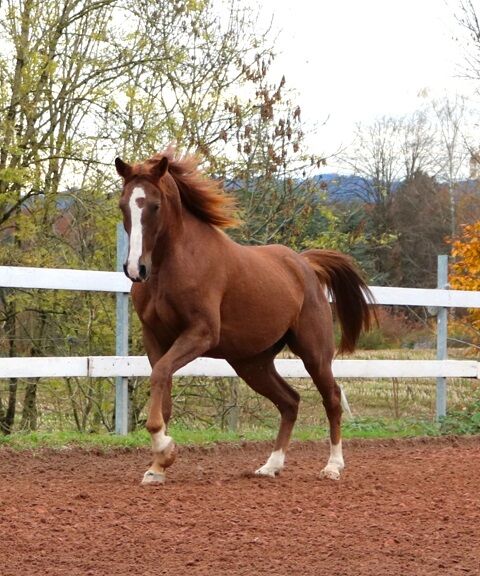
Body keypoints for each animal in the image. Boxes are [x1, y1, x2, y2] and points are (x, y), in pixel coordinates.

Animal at [115, 149, 374, 485]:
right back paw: (271, 465)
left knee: (331, 397)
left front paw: (164, 448)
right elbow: (164, 387)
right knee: (289, 401)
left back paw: (333, 466)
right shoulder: (155, 337)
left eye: (154, 206)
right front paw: (158, 465)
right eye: (123, 205)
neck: (173, 265)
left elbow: (160, 374)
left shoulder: (201, 333)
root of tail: (304, 264)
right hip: (252, 363)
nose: (136, 269)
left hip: (314, 354)